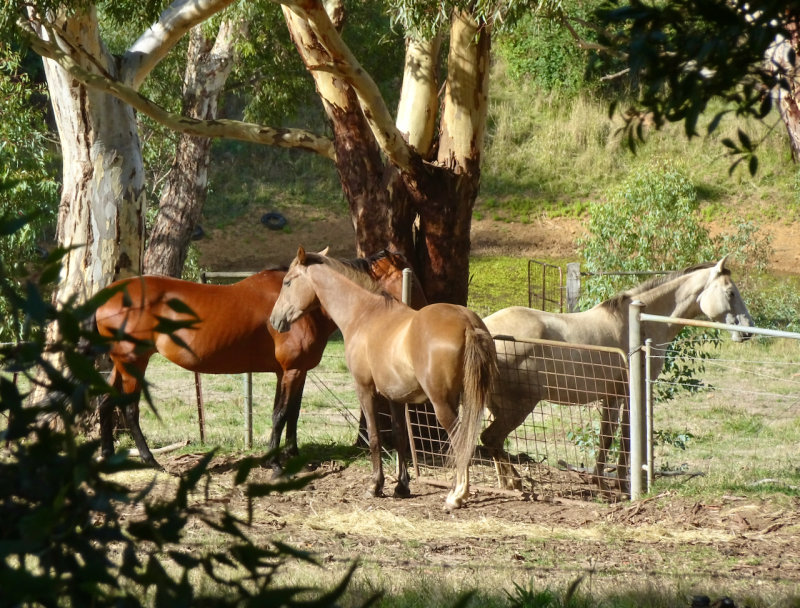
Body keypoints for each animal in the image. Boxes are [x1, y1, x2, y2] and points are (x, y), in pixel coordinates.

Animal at [94, 249, 422, 468]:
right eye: (406, 277)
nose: (422, 307)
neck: (302, 306)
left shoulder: (294, 371)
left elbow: (292, 413)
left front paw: (291, 453)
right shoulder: (291, 370)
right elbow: (280, 413)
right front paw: (273, 461)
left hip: (121, 363)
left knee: (105, 402)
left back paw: (108, 454)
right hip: (134, 362)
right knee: (130, 409)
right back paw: (150, 460)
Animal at [268, 247, 496, 508]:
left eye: (287, 282)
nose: (274, 321)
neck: (364, 314)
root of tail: (467, 323)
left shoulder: (365, 389)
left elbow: (375, 437)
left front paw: (375, 486)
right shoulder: (395, 397)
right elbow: (399, 437)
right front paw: (401, 486)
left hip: (443, 403)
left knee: (460, 441)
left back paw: (457, 495)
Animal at [482, 258, 756, 494]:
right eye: (730, 292)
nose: (749, 329)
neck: (639, 323)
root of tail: (483, 329)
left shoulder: (611, 396)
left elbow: (606, 436)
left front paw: (600, 481)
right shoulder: (630, 392)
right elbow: (626, 436)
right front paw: (623, 485)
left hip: (496, 406)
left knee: (493, 442)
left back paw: (506, 482)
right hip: (520, 406)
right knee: (491, 438)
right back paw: (515, 481)